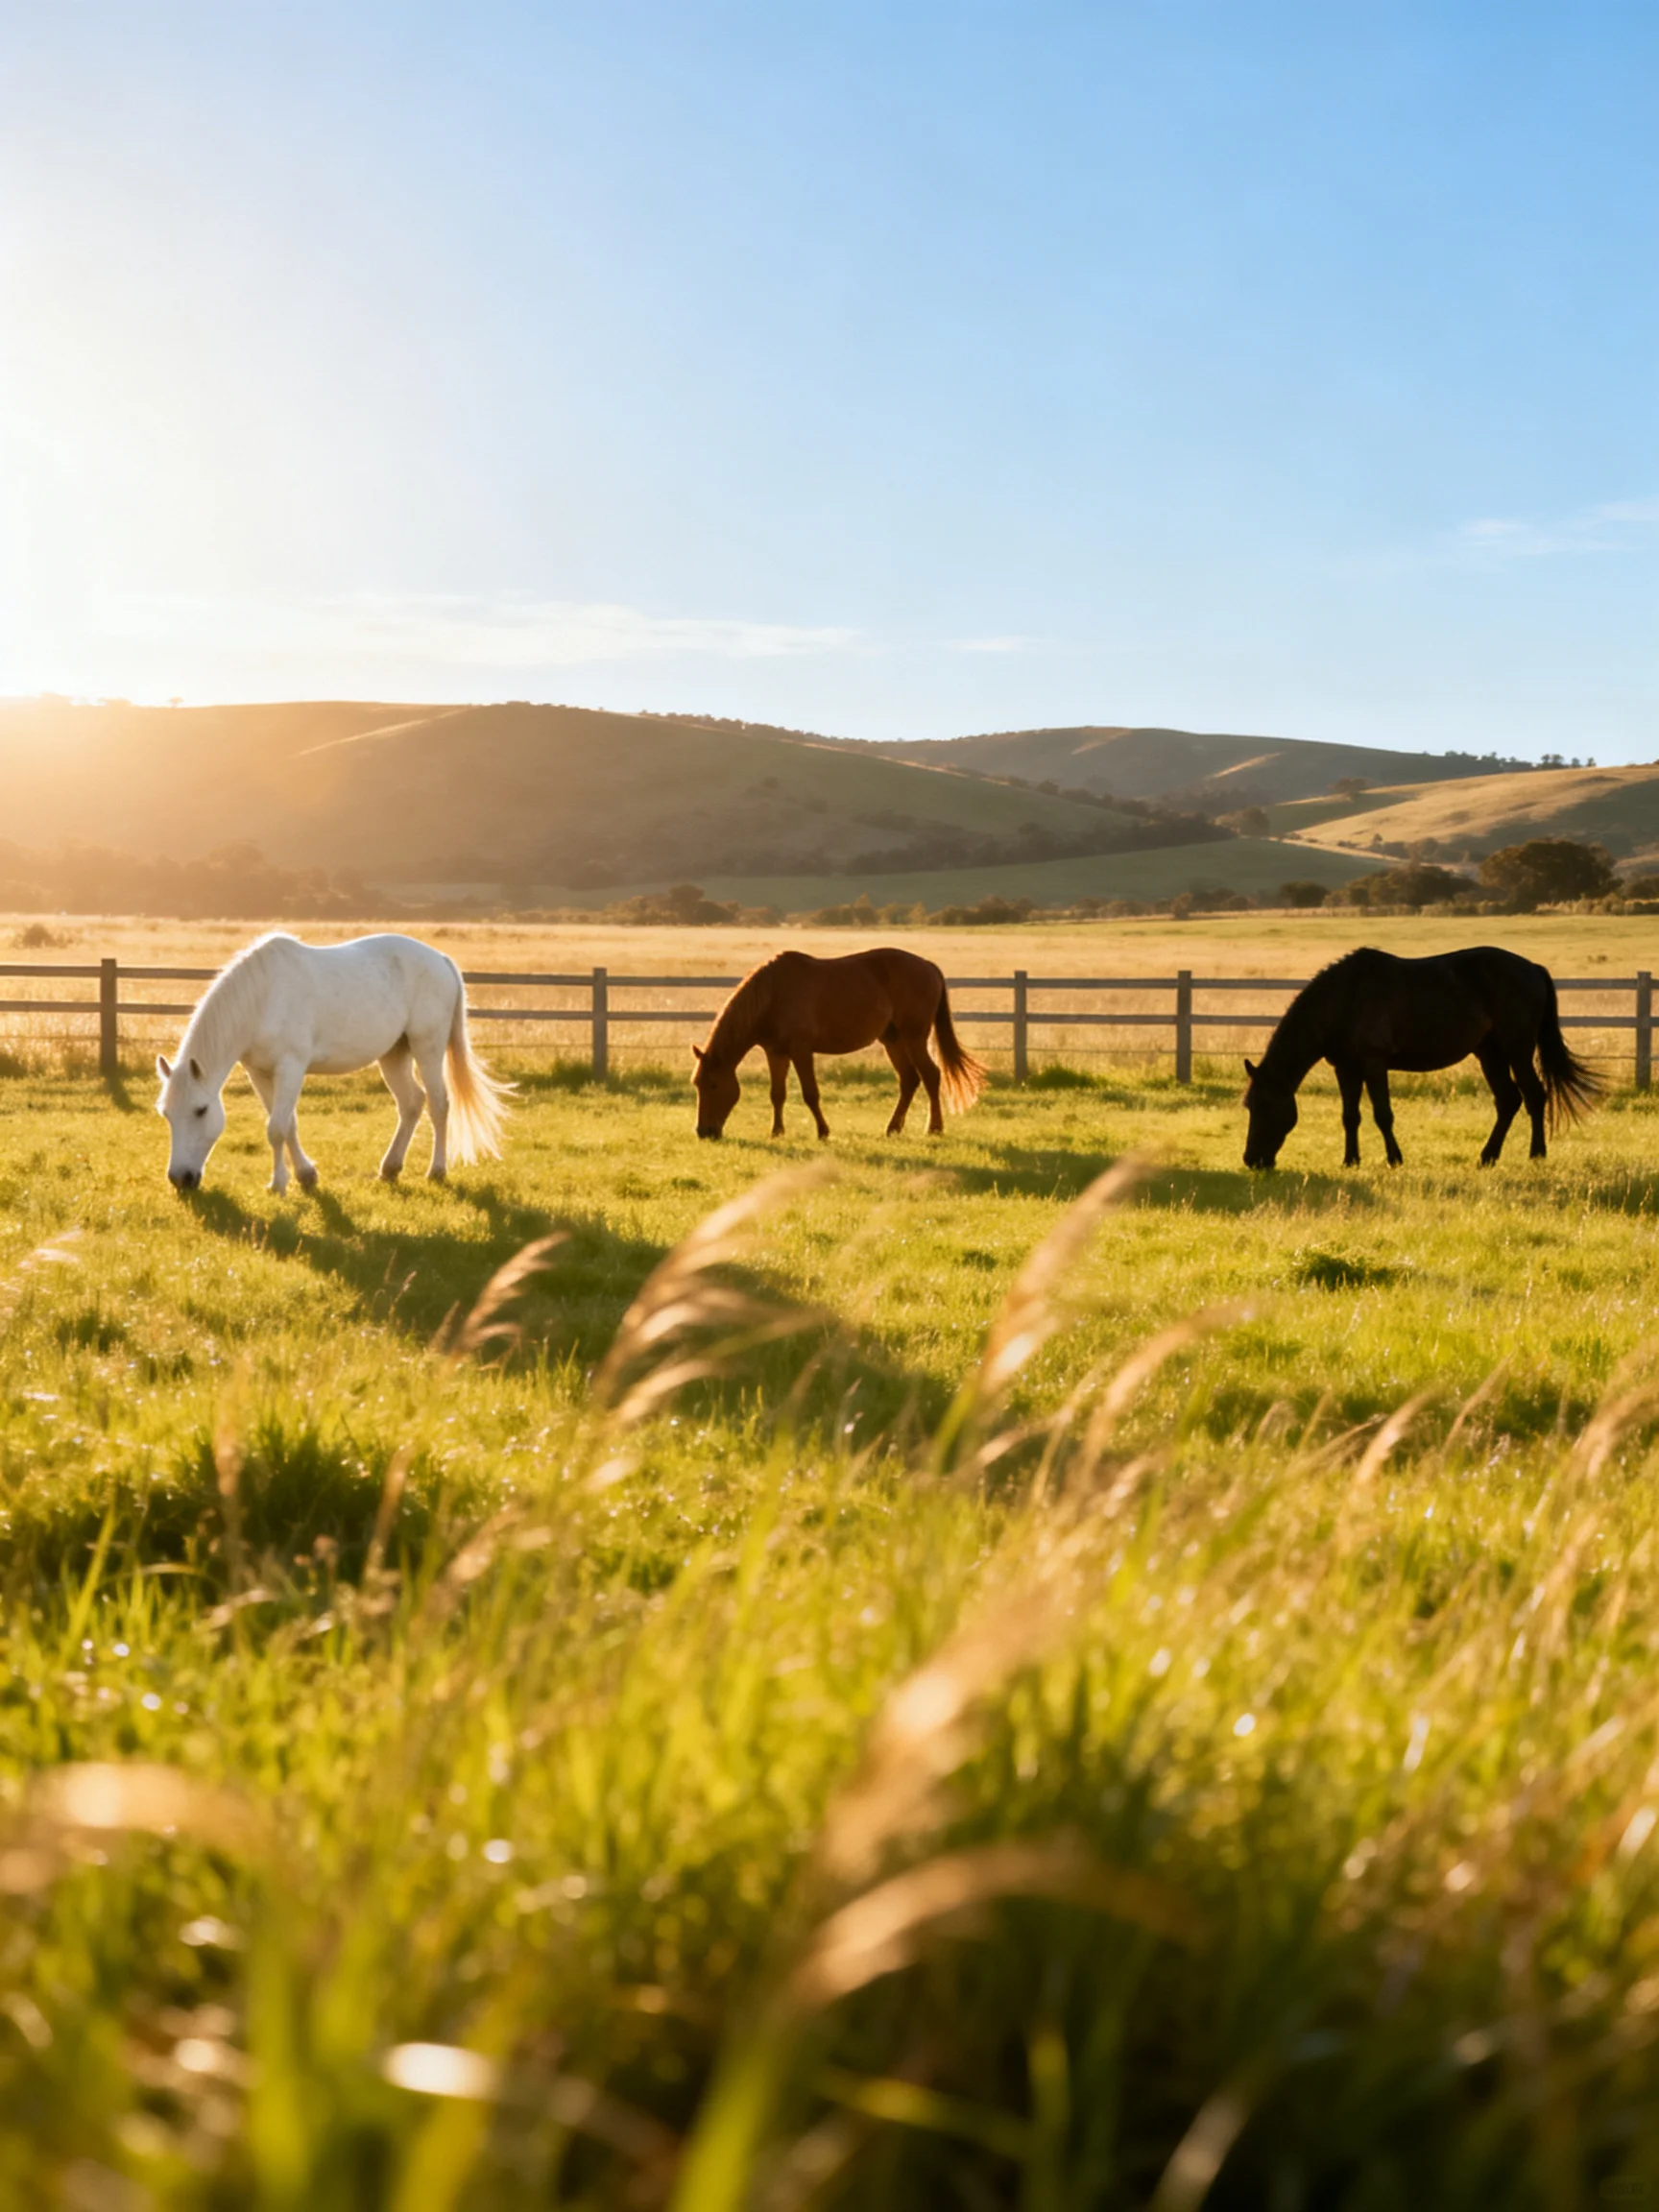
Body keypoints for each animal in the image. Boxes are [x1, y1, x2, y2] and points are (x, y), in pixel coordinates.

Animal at [156, 932, 511, 1193]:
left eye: (201, 1110)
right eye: (166, 1113)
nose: (180, 1179)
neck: (262, 999)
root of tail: (441, 960)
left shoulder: (290, 1069)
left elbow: (277, 1129)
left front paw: (279, 1185)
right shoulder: (259, 1072)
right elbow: (287, 1124)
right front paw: (306, 1177)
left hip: (428, 1048)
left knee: (438, 1104)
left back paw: (436, 1171)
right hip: (394, 1054)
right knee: (412, 1103)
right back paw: (390, 1169)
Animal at [691, 946, 986, 1140]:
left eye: (713, 1084)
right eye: (697, 1085)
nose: (704, 1132)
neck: (773, 994)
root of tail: (928, 965)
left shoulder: (801, 1050)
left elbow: (811, 1094)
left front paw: (823, 1131)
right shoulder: (776, 1052)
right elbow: (777, 1094)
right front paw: (777, 1132)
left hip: (914, 1037)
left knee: (930, 1075)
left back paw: (934, 1128)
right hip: (893, 1040)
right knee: (909, 1080)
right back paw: (893, 1128)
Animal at [1242, 945, 1601, 1171]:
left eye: (1264, 1105)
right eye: (1249, 1106)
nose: (1252, 1160)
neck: (1344, 999)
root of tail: (1533, 969)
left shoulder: (1374, 1064)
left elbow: (1382, 1115)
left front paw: (1394, 1159)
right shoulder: (1345, 1068)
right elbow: (1350, 1116)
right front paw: (1350, 1161)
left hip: (1517, 1049)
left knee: (1534, 1095)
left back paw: (1536, 1153)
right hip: (1490, 1054)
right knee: (1508, 1100)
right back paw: (1487, 1157)